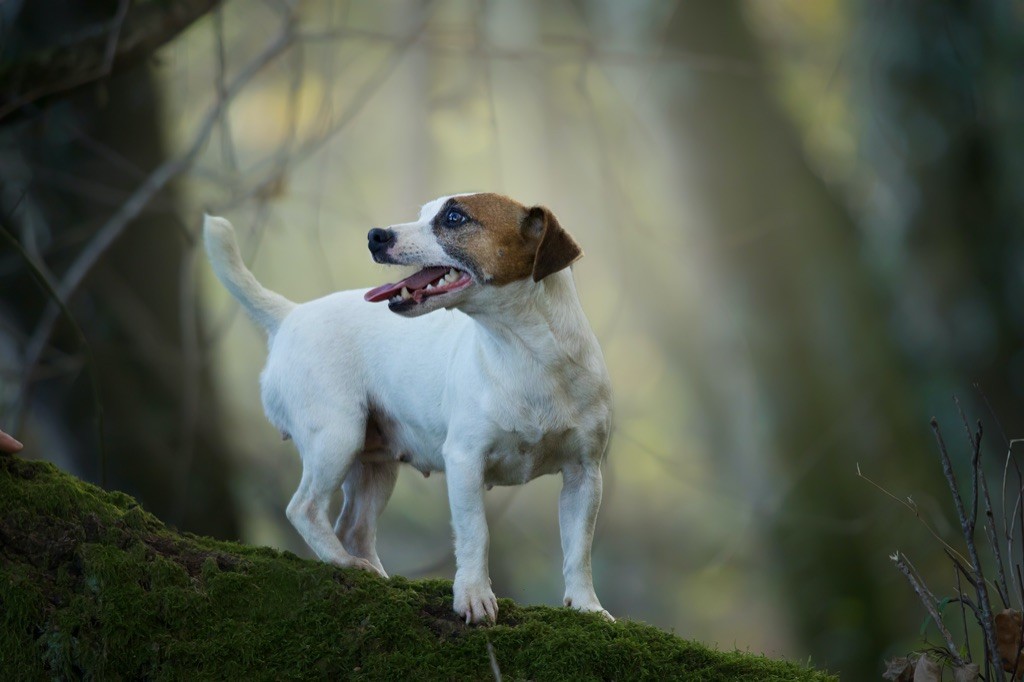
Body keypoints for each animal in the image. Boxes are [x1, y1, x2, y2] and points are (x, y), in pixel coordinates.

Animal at [203, 191, 610, 622]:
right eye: (424, 212)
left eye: (454, 217)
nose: (376, 236)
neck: (527, 356)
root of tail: (292, 315)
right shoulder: (465, 461)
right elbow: (475, 533)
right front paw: (474, 596)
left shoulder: (584, 474)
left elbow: (579, 549)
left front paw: (587, 607)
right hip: (336, 437)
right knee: (304, 508)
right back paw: (344, 562)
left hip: (374, 466)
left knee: (354, 528)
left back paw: (374, 573)